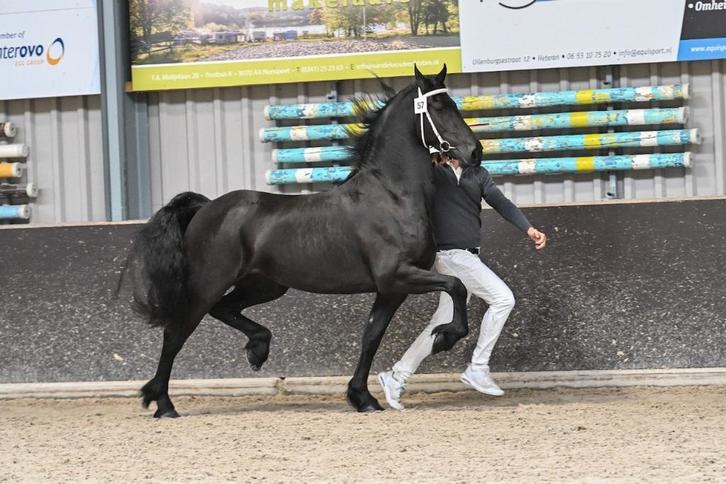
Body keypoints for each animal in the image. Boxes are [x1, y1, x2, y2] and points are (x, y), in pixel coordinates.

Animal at [128, 65, 483, 417]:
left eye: (453, 104)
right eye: (438, 107)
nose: (475, 152)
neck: (392, 195)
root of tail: (206, 207)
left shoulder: (391, 289)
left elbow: (371, 336)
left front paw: (362, 398)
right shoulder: (397, 275)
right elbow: (456, 286)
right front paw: (444, 337)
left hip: (265, 285)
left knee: (223, 309)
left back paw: (257, 349)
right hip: (207, 284)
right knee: (176, 333)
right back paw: (163, 403)